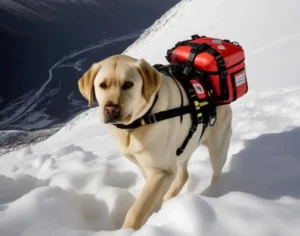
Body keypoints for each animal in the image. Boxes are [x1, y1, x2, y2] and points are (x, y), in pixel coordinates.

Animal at [77, 54, 232, 229]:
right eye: (102, 85)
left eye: (128, 84)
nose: (111, 109)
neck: (141, 120)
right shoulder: (145, 167)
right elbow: (150, 200)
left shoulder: (160, 171)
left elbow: (136, 210)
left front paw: (127, 230)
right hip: (181, 151)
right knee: (183, 175)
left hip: (217, 147)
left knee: (216, 174)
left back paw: (213, 193)